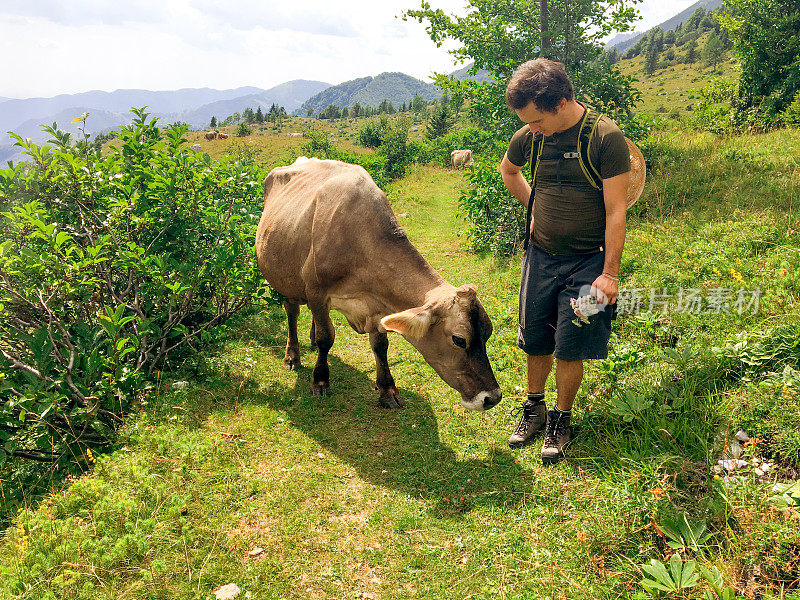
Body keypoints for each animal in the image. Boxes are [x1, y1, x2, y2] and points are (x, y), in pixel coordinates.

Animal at [256, 157, 504, 410]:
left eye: (488, 332)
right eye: (459, 340)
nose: (492, 397)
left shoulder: (376, 304)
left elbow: (380, 346)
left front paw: (387, 389)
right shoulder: (317, 292)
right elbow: (326, 338)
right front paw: (320, 380)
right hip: (284, 279)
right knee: (292, 313)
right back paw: (292, 356)